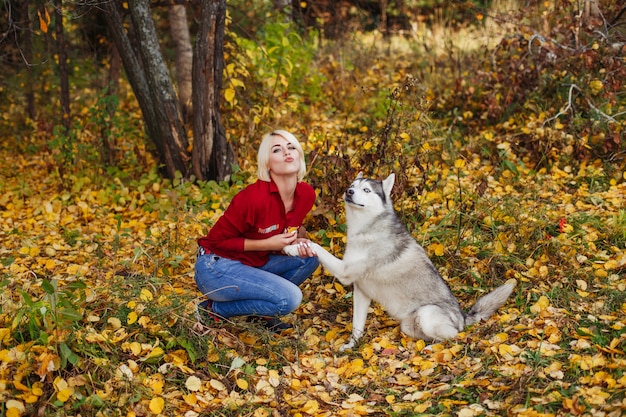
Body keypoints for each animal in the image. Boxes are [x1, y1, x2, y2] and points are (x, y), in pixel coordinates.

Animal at [286, 171, 516, 350]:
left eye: (366, 190)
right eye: (352, 186)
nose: (348, 192)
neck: (365, 230)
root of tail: (463, 317)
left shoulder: (344, 272)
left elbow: (317, 247)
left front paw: (292, 247)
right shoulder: (361, 292)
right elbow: (357, 326)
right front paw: (352, 346)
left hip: (427, 314)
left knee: (454, 337)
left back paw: (432, 349)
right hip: (409, 326)